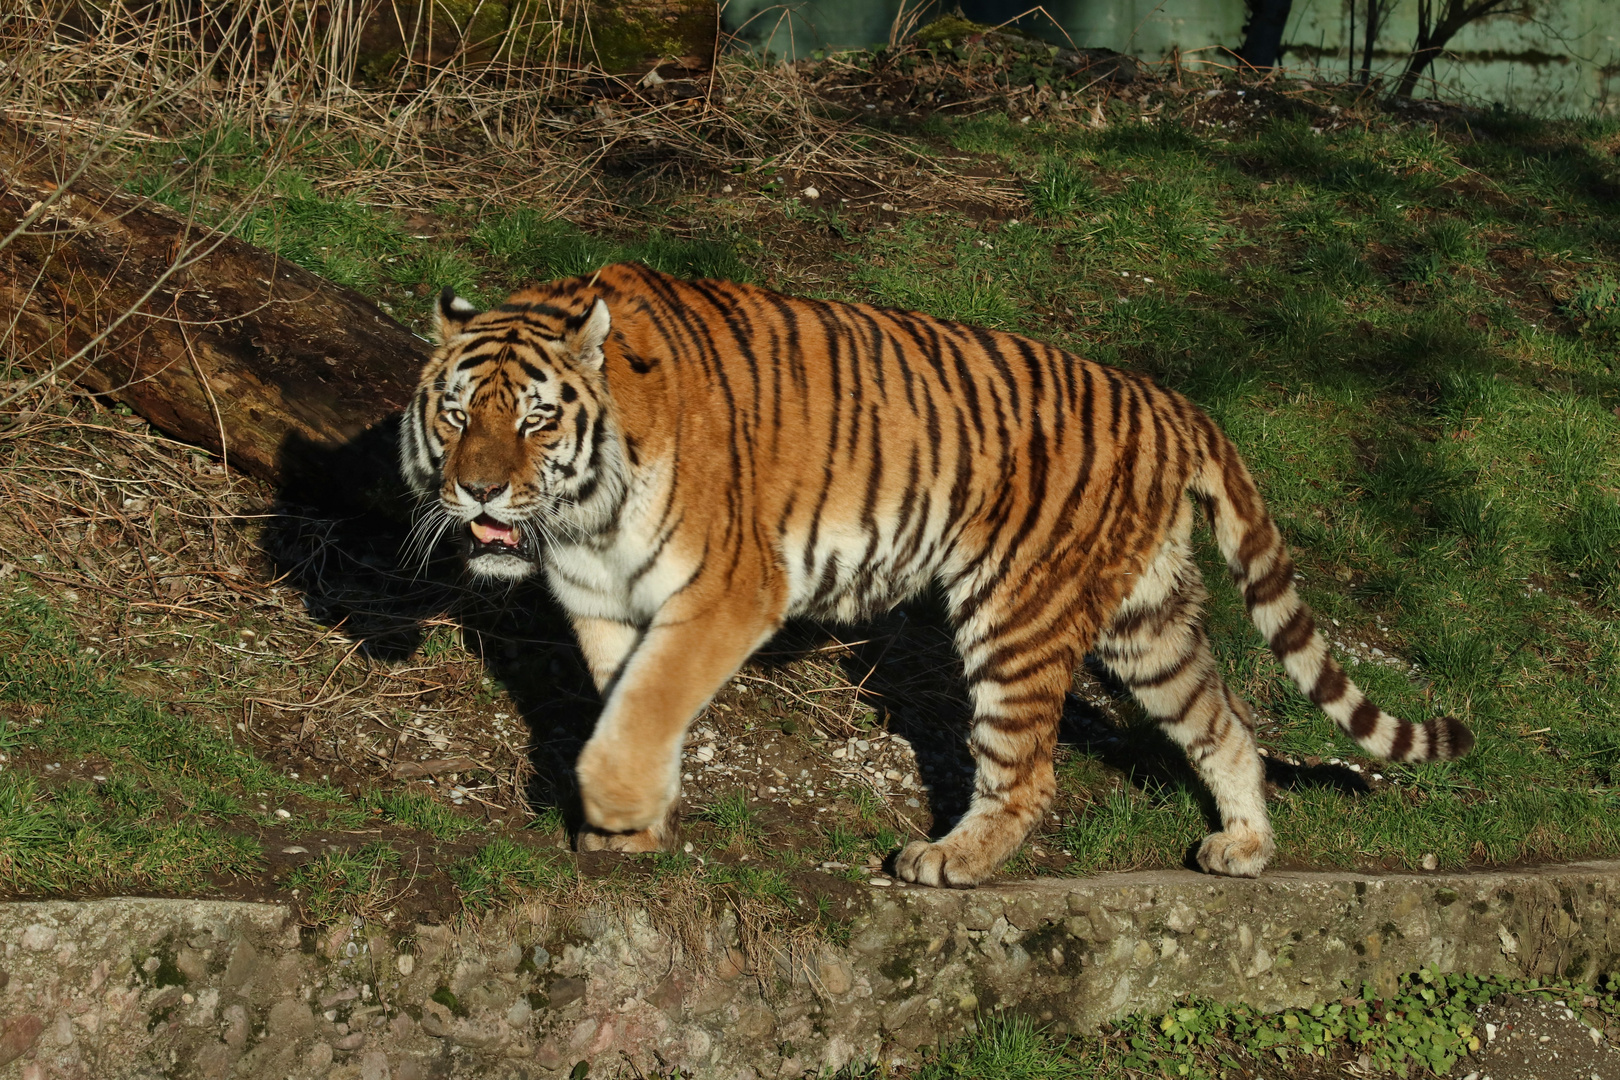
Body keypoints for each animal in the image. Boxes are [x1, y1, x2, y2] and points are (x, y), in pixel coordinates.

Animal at [398, 262, 1477, 887]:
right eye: (455, 415)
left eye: (535, 420)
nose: (480, 491)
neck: (579, 514)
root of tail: (1167, 400)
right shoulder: (599, 600)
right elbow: (623, 703)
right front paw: (633, 826)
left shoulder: (727, 589)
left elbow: (647, 703)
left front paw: (618, 812)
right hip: (1148, 623)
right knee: (1225, 723)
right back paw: (1245, 847)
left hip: (1018, 611)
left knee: (1027, 770)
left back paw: (948, 859)